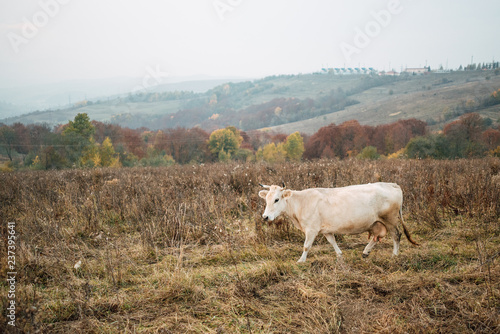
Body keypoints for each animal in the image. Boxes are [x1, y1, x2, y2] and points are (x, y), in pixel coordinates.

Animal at [258, 183, 418, 264]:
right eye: (266, 199)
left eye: (277, 199)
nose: (265, 217)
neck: (301, 202)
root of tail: (391, 184)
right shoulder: (326, 229)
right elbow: (332, 241)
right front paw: (340, 255)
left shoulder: (311, 229)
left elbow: (306, 246)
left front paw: (301, 260)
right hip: (378, 222)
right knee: (376, 237)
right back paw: (365, 252)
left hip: (390, 219)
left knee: (396, 235)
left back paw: (394, 255)